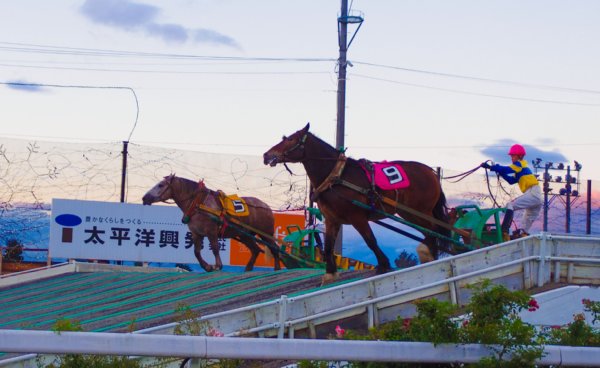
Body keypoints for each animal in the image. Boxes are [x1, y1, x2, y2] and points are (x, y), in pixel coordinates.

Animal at [142, 175, 282, 274]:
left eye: (160, 185)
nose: (144, 198)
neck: (198, 203)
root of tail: (265, 206)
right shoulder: (196, 233)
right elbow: (196, 252)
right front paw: (207, 266)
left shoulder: (211, 232)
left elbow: (215, 248)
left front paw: (218, 265)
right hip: (244, 235)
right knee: (255, 250)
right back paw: (248, 268)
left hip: (266, 233)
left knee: (274, 248)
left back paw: (277, 268)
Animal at [262, 123, 450, 282]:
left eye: (290, 139)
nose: (266, 155)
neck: (337, 177)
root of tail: (431, 172)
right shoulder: (332, 219)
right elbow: (328, 247)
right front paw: (330, 273)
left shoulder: (357, 216)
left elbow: (370, 240)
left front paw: (383, 264)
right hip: (409, 212)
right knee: (430, 232)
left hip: (421, 210)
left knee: (434, 230)